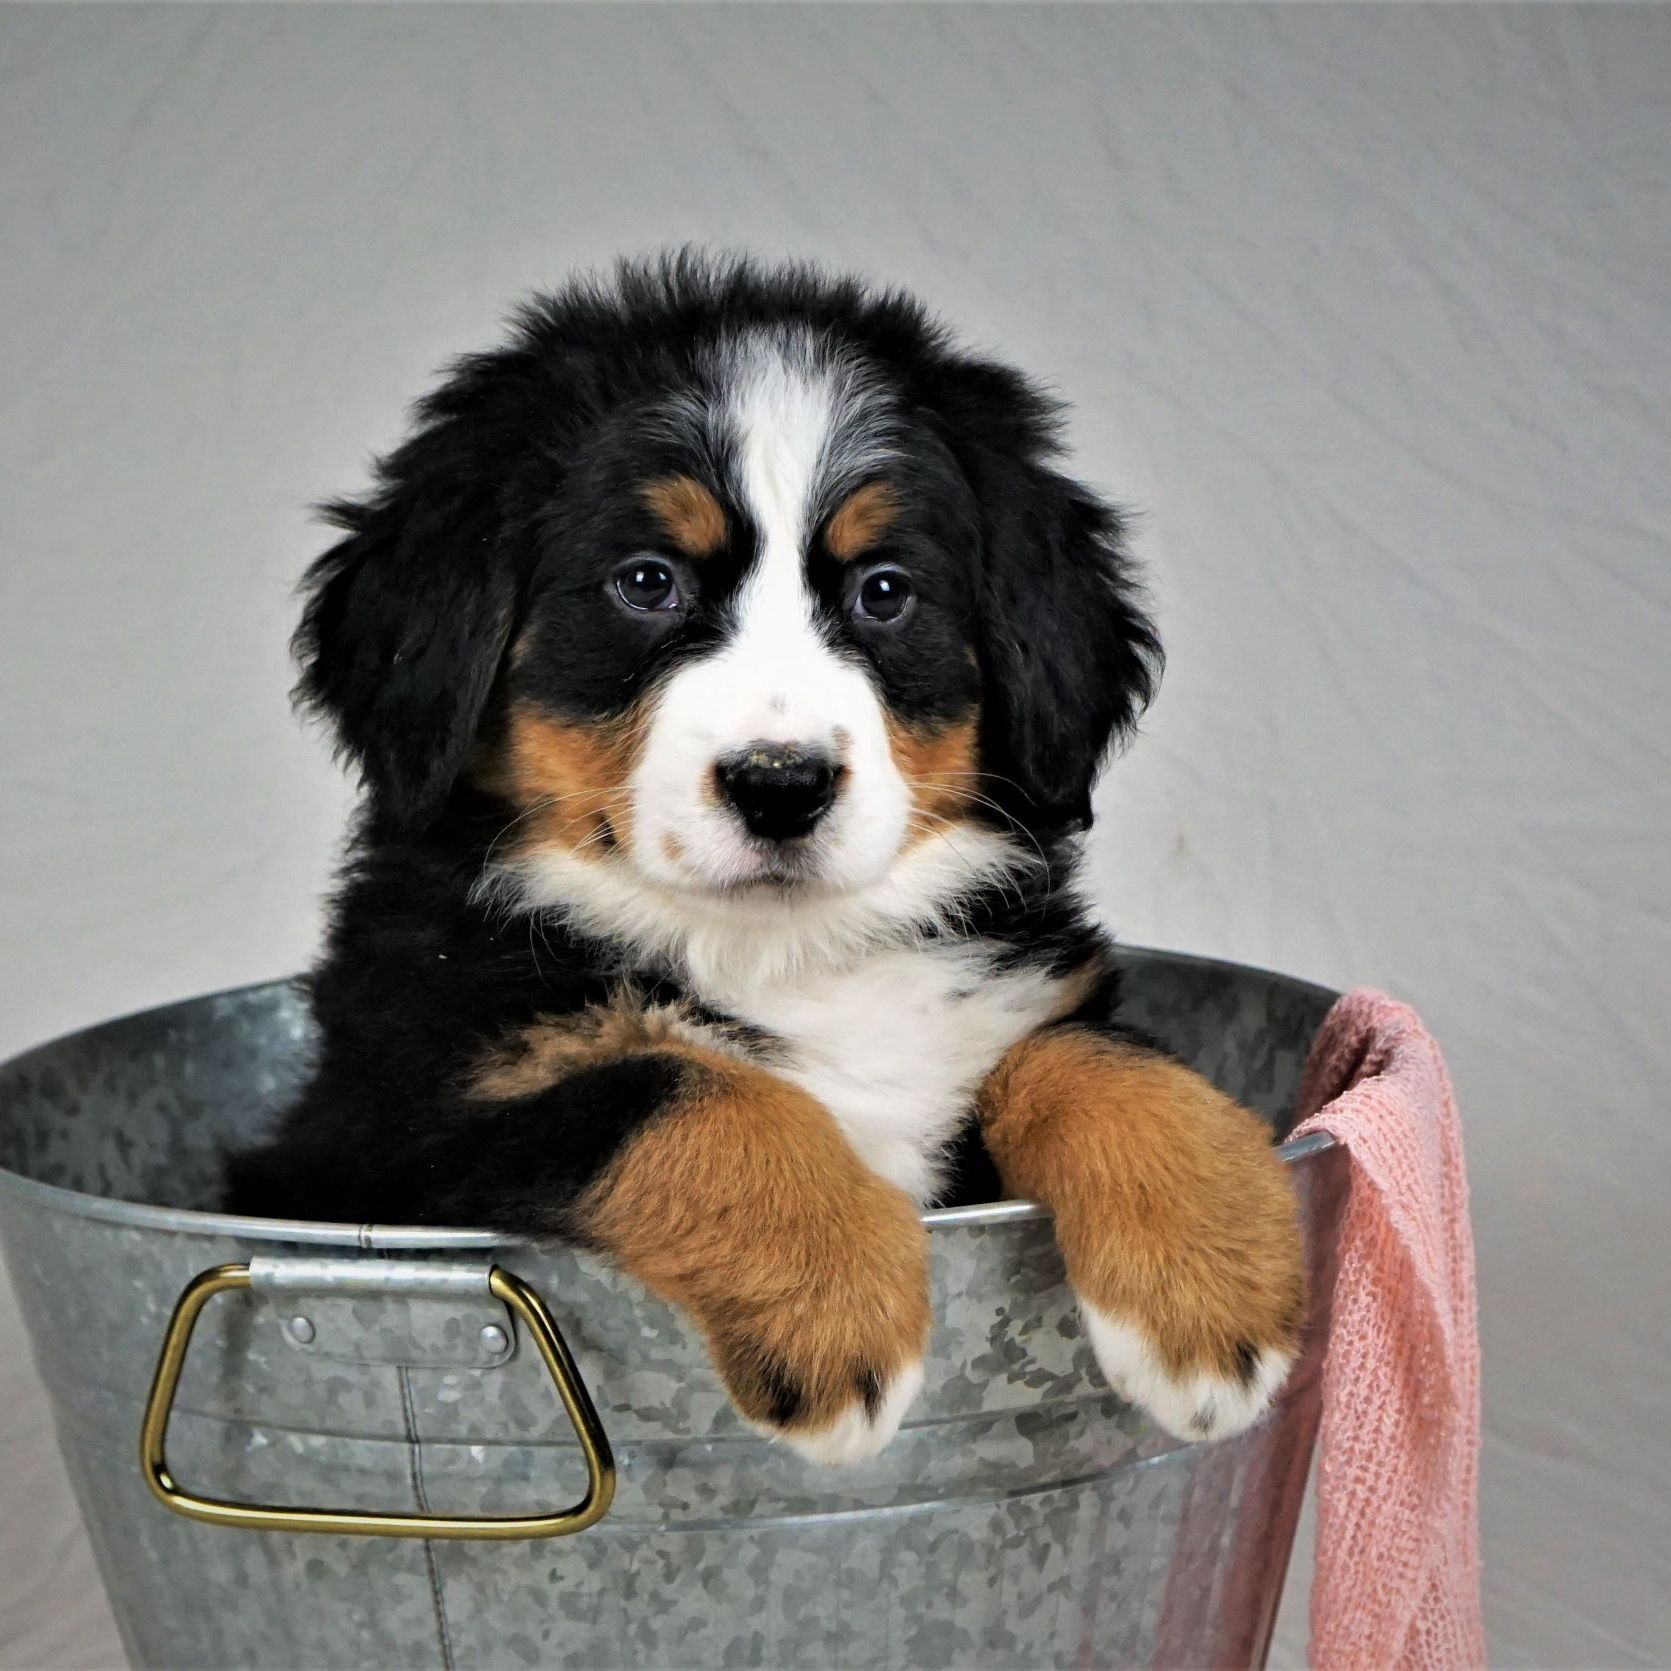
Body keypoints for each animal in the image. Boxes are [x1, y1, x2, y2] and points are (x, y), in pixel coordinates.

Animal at [229, 253, 1304, 1462]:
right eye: (647, 582)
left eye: (884, 591)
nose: (781, 783)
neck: (783, 951)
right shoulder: (389, 1132)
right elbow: (680, 1085)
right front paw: (834, 1307)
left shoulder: (1019, 989)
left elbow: (1088, 1056)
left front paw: (1211, 1294)